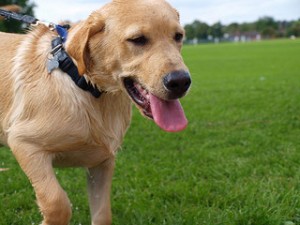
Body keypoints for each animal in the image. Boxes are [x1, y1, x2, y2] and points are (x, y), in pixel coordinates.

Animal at [0, 0, 191, 224]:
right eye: (138, 40)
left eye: (178, 36)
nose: (181, 82)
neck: (85, 85)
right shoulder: (25, 144)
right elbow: (57, 203)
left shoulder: (102, 162)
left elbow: (102, 214)